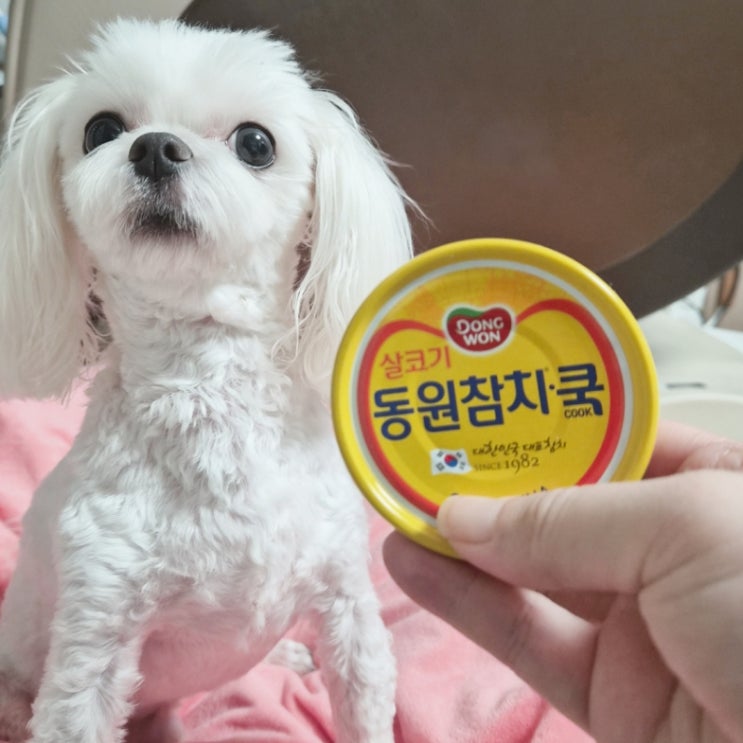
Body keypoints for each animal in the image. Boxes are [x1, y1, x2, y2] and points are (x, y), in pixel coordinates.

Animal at [0, 18, 413, 743]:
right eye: (101, 129)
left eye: (256, 142)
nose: (155, 148)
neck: (208, 378)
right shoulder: (97, 624)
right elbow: (77, 708)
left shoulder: (347, 600)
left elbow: (364, 695)